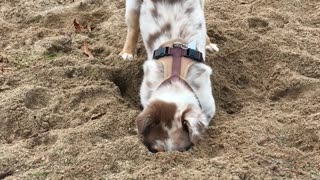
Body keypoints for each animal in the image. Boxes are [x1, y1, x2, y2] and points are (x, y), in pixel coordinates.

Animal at [120, 0, 218, 152]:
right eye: (155, 150)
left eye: (182, 150)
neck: (175, 80)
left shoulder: (207, 105)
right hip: (132, 6)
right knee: (133, 27)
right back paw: (127, 53)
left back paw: (209, 44)